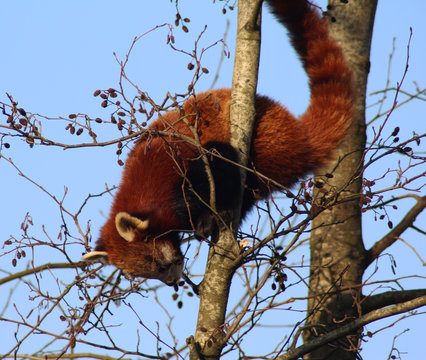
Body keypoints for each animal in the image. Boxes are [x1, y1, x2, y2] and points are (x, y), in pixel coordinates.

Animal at [82, 0, 352, 286]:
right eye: (146, 273)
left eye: (155, 263)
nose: (172, 282)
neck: (146, 185)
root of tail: (297, 133)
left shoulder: (181, 164)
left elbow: (209, 173)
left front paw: (201, 219)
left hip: (267, 142)